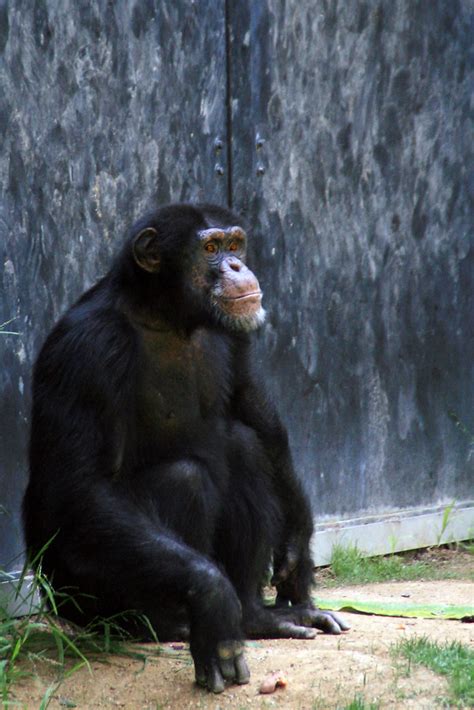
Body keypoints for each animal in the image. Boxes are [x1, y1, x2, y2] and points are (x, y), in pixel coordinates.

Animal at [23, 204, 348, 696]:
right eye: (210, 248)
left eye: (234, 244)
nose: (236, 266)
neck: (170, 317)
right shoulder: (89, 350)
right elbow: (80, 487)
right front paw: (212, 600)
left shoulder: (236, 331)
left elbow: (251, 405)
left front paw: (298, 537)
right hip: (80, 598)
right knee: (186, 479)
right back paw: (170, 623)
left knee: (245, 447)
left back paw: (258, 615)